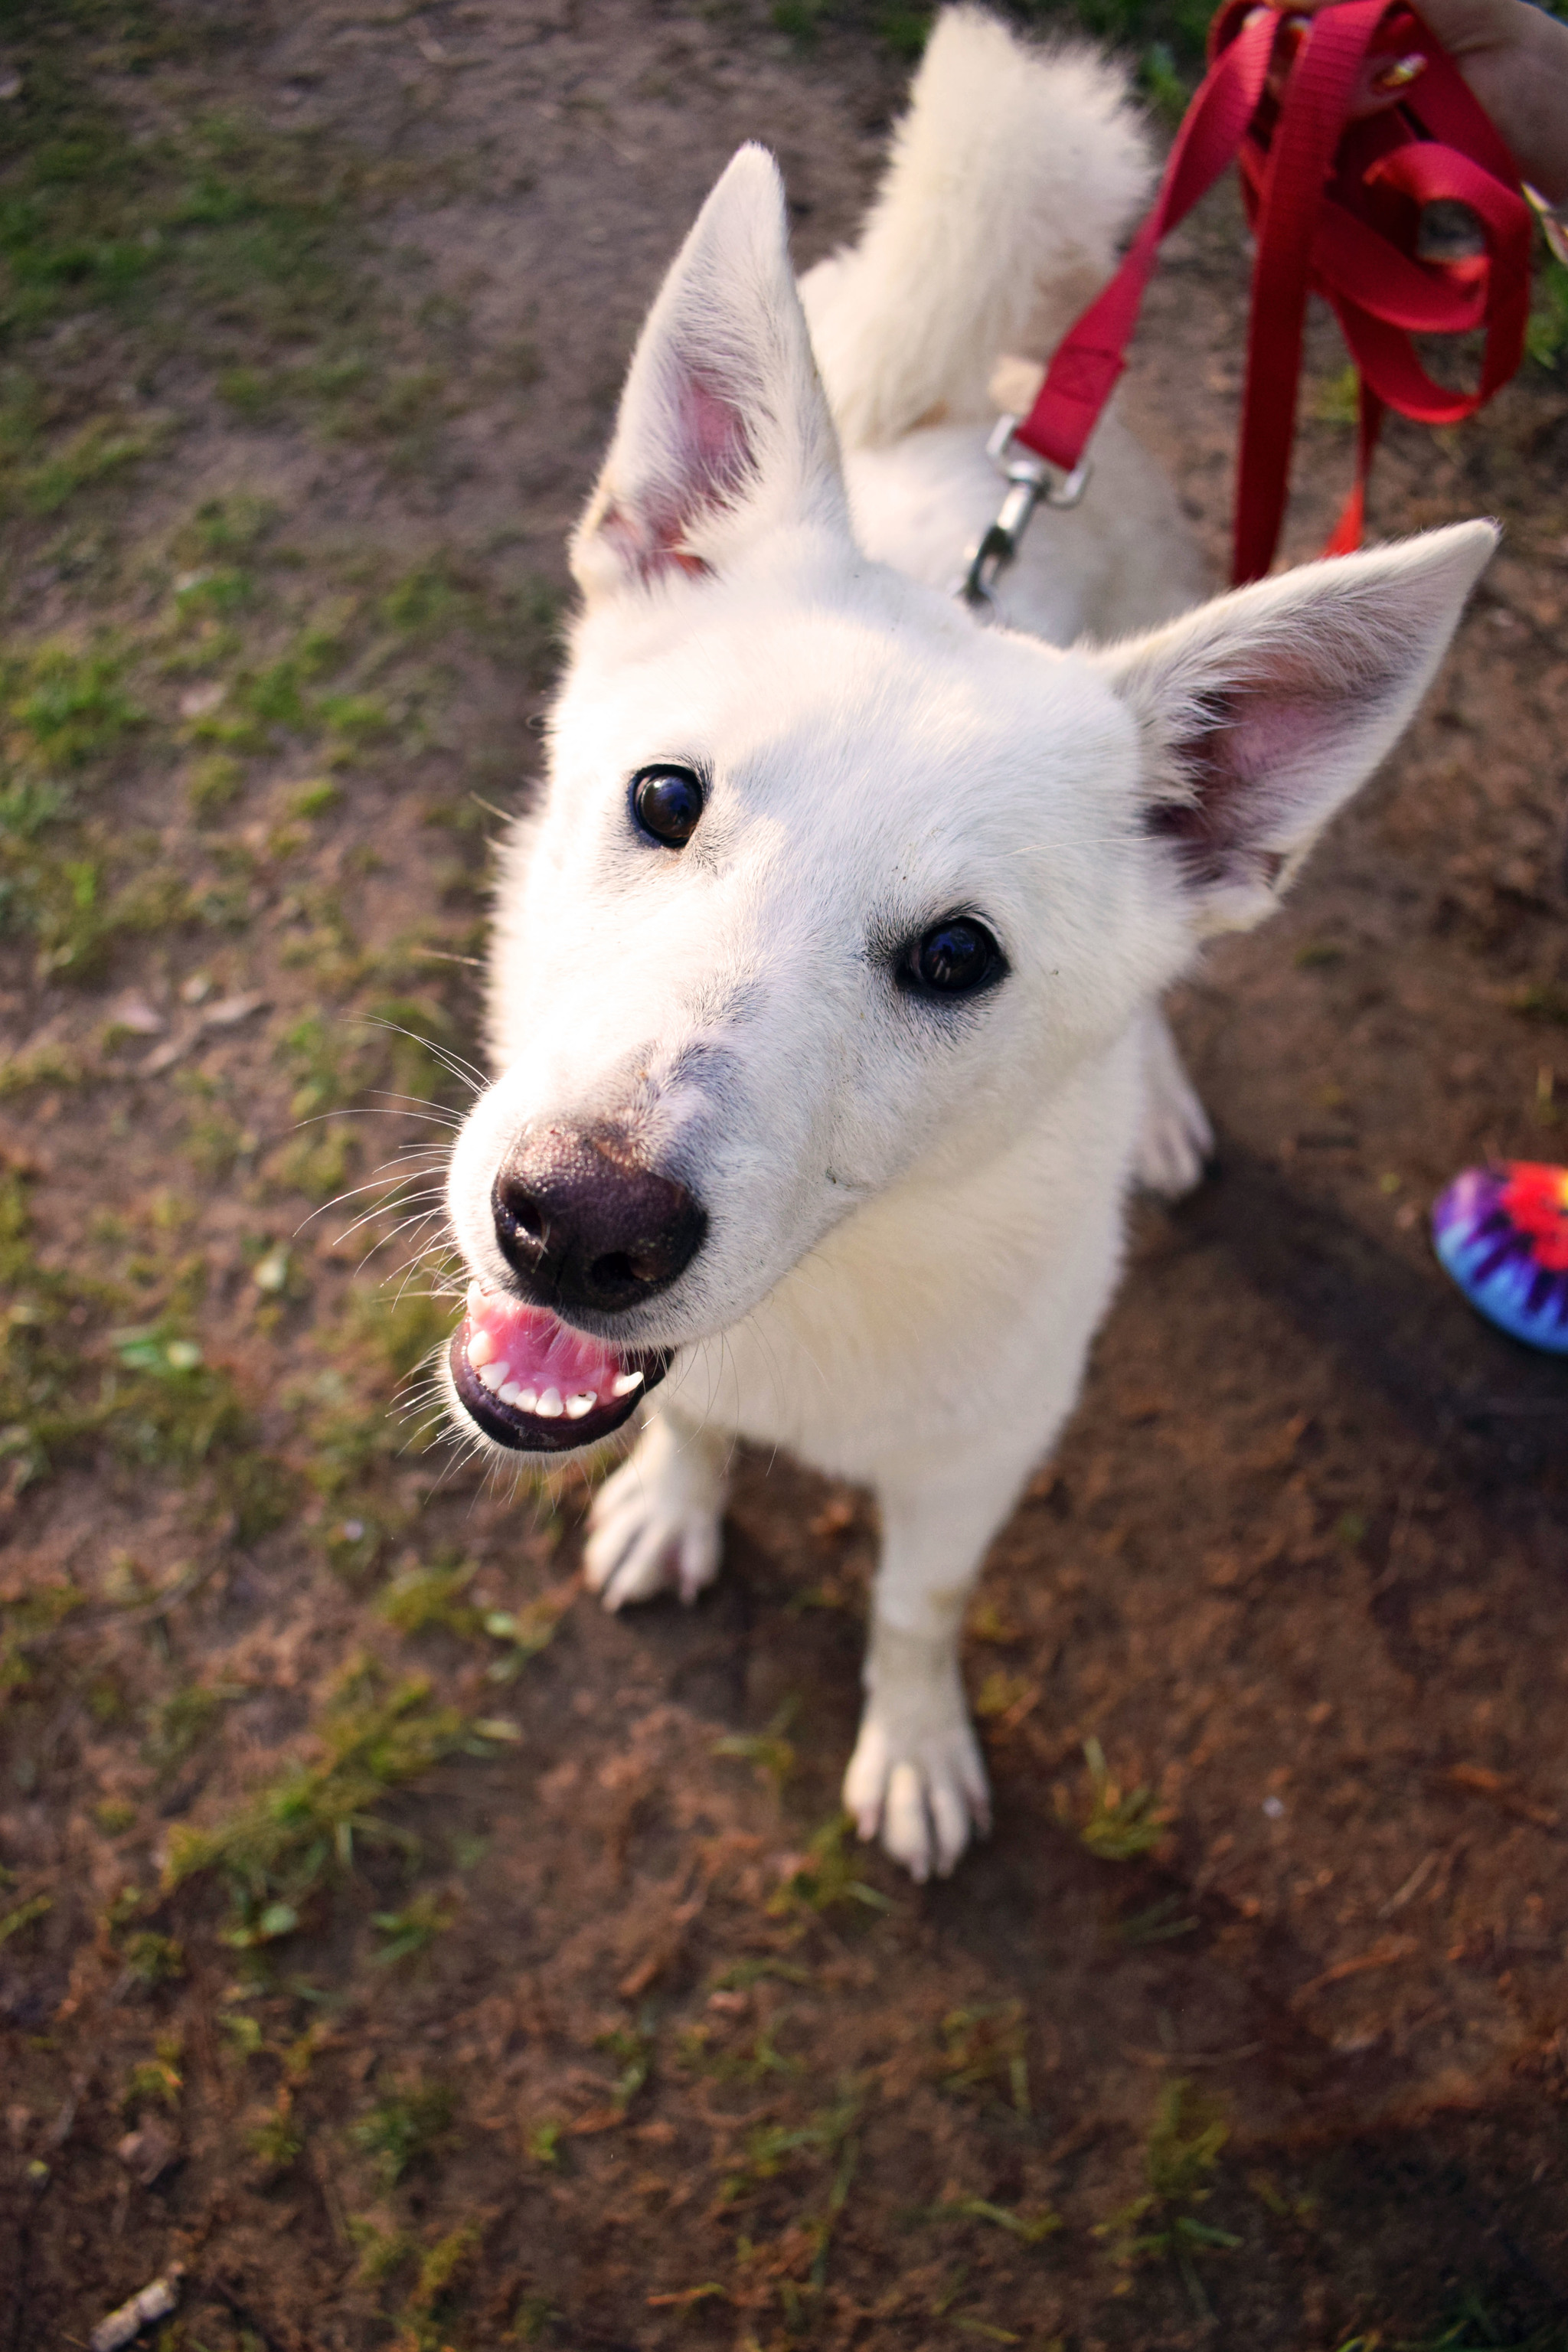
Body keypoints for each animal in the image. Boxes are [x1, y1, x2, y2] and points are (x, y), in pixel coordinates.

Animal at [442, 0, 1494, 1872]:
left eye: (955, 960)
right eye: (661, 797)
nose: (576, 1227)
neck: (834, 1290)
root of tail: (1009, 380)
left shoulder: (974, 1467)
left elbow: (914, 1614)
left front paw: (916, 1749)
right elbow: (688, 1426)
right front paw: (671, 1503)